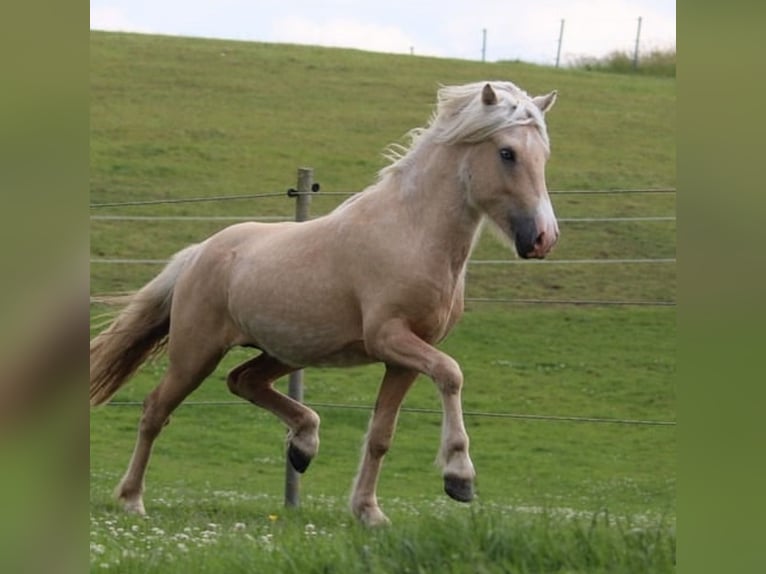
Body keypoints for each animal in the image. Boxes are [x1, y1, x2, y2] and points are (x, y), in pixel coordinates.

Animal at [90, 80, 559, 526]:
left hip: (285, 352)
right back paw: (132, 500)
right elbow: (451, 373)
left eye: (544, 155)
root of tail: (198, 253)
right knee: (156, 410)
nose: (542, 238)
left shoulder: (405, 358)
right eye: (507, 152)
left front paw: (368, 512)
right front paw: (459, 477)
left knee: (243, 381)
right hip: (196, 354)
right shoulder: (390, 337)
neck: (411, 233)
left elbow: (382, 435)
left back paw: (304, 445)